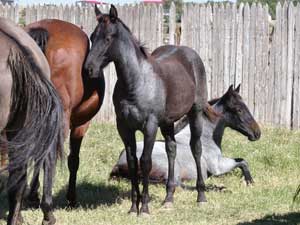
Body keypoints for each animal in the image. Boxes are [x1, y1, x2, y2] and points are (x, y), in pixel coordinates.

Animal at [110, 85, 260, 185]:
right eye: (239, 110)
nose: (257, 133)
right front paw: (250, 181)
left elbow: (241, 160)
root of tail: (120, 163)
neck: (205, 139)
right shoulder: (218, 166)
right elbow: (242, 162)